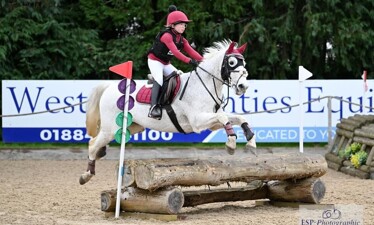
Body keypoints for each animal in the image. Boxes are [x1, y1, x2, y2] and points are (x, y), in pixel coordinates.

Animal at [80, 40, 258, 185]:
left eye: (244, 62)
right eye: (232, 62)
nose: (243, 86)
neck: (204, 84)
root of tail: (109, 87)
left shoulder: (211, 123)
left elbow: (236, 117)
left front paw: (250, 141)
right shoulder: (198, 121)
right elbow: (222, 117)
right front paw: (232, 142)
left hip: (132, 127)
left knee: (96, 143)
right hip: (111, 129)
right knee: (92, 144)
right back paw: (86, 175)